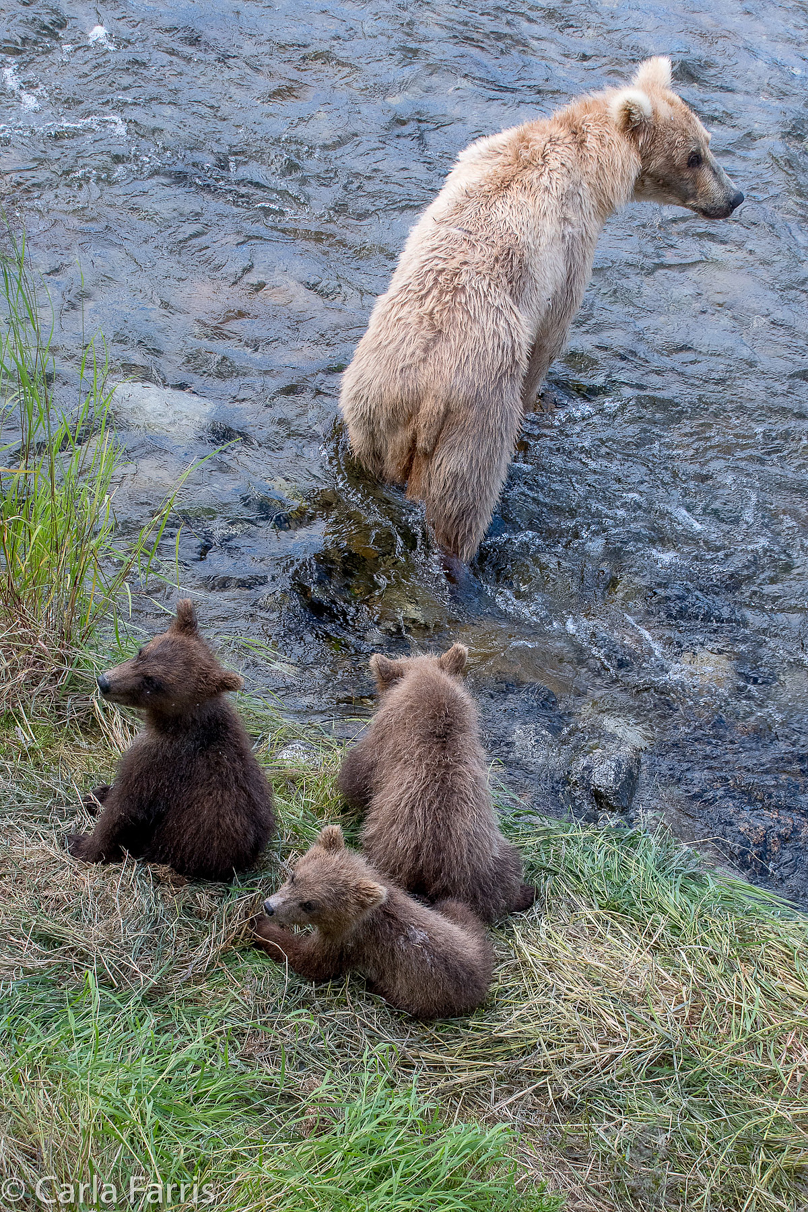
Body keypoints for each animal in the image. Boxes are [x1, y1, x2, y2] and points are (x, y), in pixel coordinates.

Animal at [339, 59, 746, 564]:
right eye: (693, 155)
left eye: (708, 141)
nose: (734, 197)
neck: (591, 165)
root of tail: (426, 396)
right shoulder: (570, 249)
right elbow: (552, 333)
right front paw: (544, 400)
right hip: (474, 421)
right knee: (462, 506)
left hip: (371, 404)